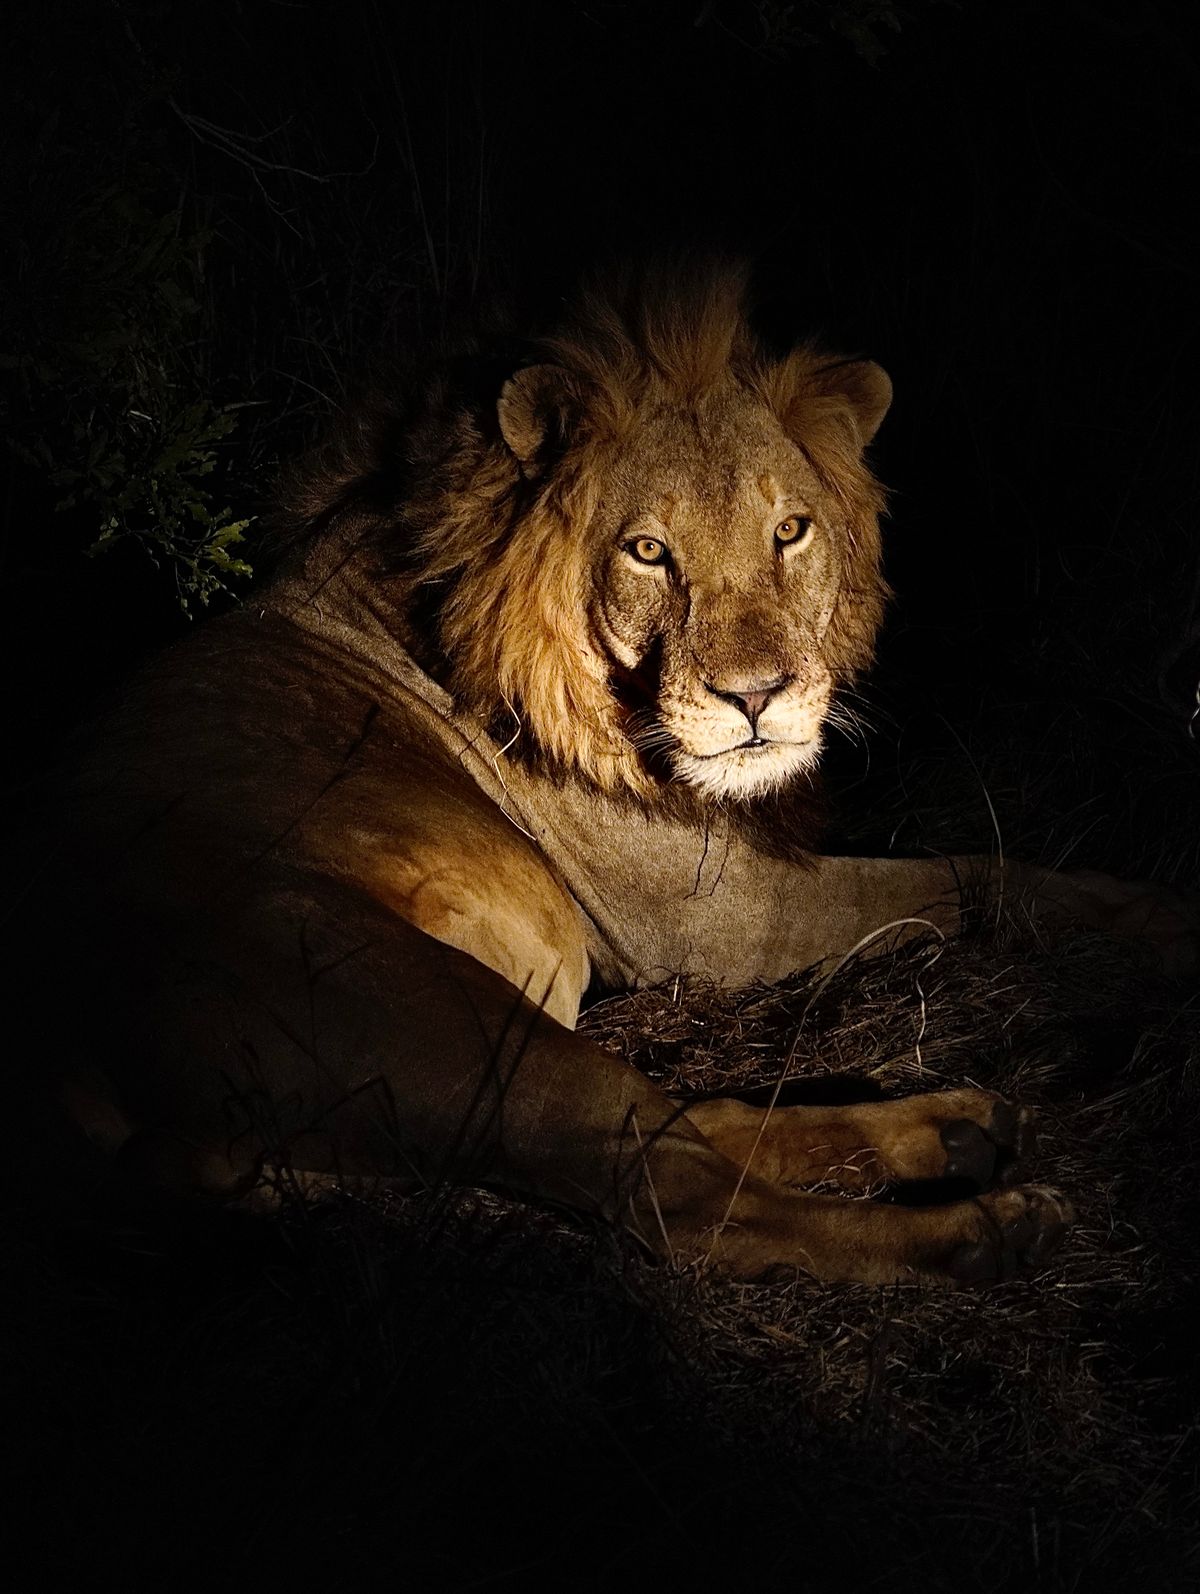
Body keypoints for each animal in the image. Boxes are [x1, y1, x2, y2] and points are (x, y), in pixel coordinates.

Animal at [52, 262, 1193, 1285]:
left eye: (791, 531)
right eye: (648, 551)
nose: (757, 698)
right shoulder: (718, 922)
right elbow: (976, 876)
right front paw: (1158, 913)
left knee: (694, 1114)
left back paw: (954, 1127)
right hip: (447, 1029)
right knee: (680, 1197)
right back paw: (987, 1227)